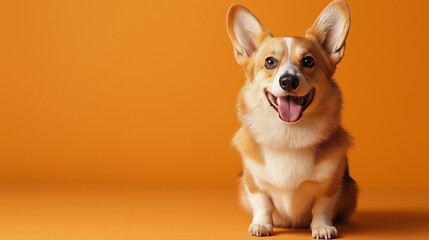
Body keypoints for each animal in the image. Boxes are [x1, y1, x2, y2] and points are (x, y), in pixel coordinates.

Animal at [226, 0, 356, 238]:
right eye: (269, 62)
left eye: (308, 61)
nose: (288, 81)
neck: (288, 134)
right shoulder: (253, 181)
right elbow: (262, 203)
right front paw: (261, 225)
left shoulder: (331, 183)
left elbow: (322, 206)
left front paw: (322, 227)